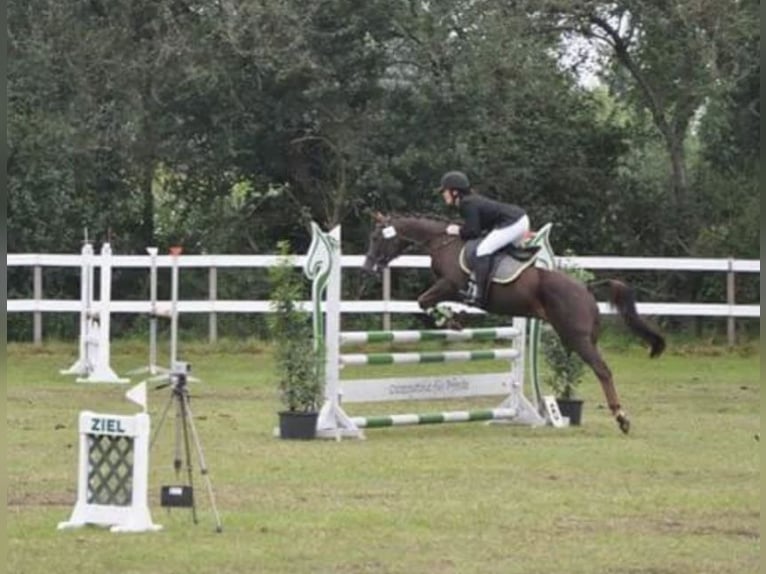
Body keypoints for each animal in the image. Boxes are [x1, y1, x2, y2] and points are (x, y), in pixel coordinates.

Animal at [360, 214, 664, 434]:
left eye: (376, 237)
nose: (367, 267)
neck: (442, 242)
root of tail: (586, 287)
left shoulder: (450, 285)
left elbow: (424, 300)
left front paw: (452, 321)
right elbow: (427, 301)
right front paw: (453, 318)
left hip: (577, 338)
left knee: (603, 370)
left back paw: (621, 417)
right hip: (577, 337)